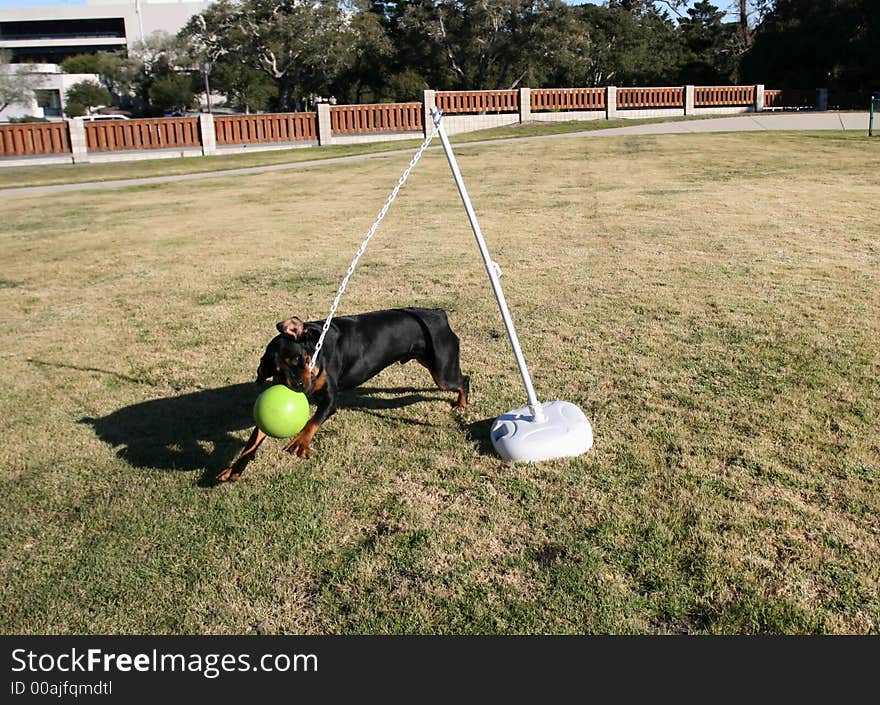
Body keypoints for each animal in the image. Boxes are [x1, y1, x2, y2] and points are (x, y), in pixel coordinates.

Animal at [215, 306, 468, 482]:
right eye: (276, 373)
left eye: (297, 359)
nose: (297, 386)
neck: (316, 346)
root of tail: (438, 313)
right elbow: (252, 441)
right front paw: (233, 469)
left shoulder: (329, 400)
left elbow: (312, 421)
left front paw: (300, 442)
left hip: (442, 372)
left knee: (464, 381)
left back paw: (461, 404)